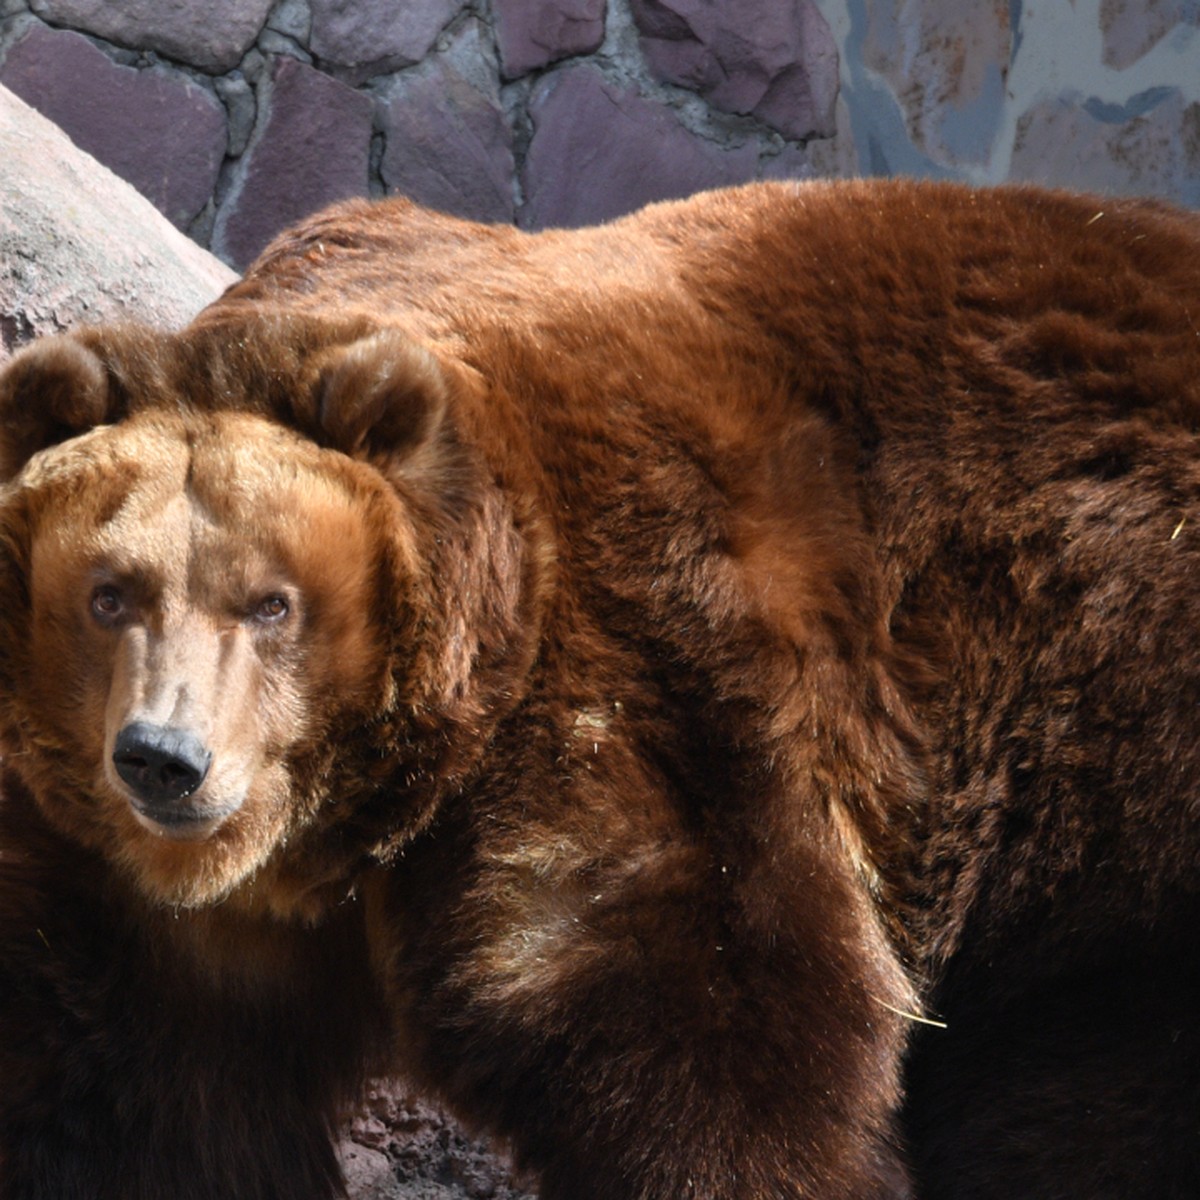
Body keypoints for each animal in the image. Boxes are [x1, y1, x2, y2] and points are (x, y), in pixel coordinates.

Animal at [0, 180, 1200, 1200]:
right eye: (110, 593)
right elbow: (133, 1102)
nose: (165, 759)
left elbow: (722, 1042)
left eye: (271, 605)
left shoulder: (650, 675)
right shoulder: (153, 915)